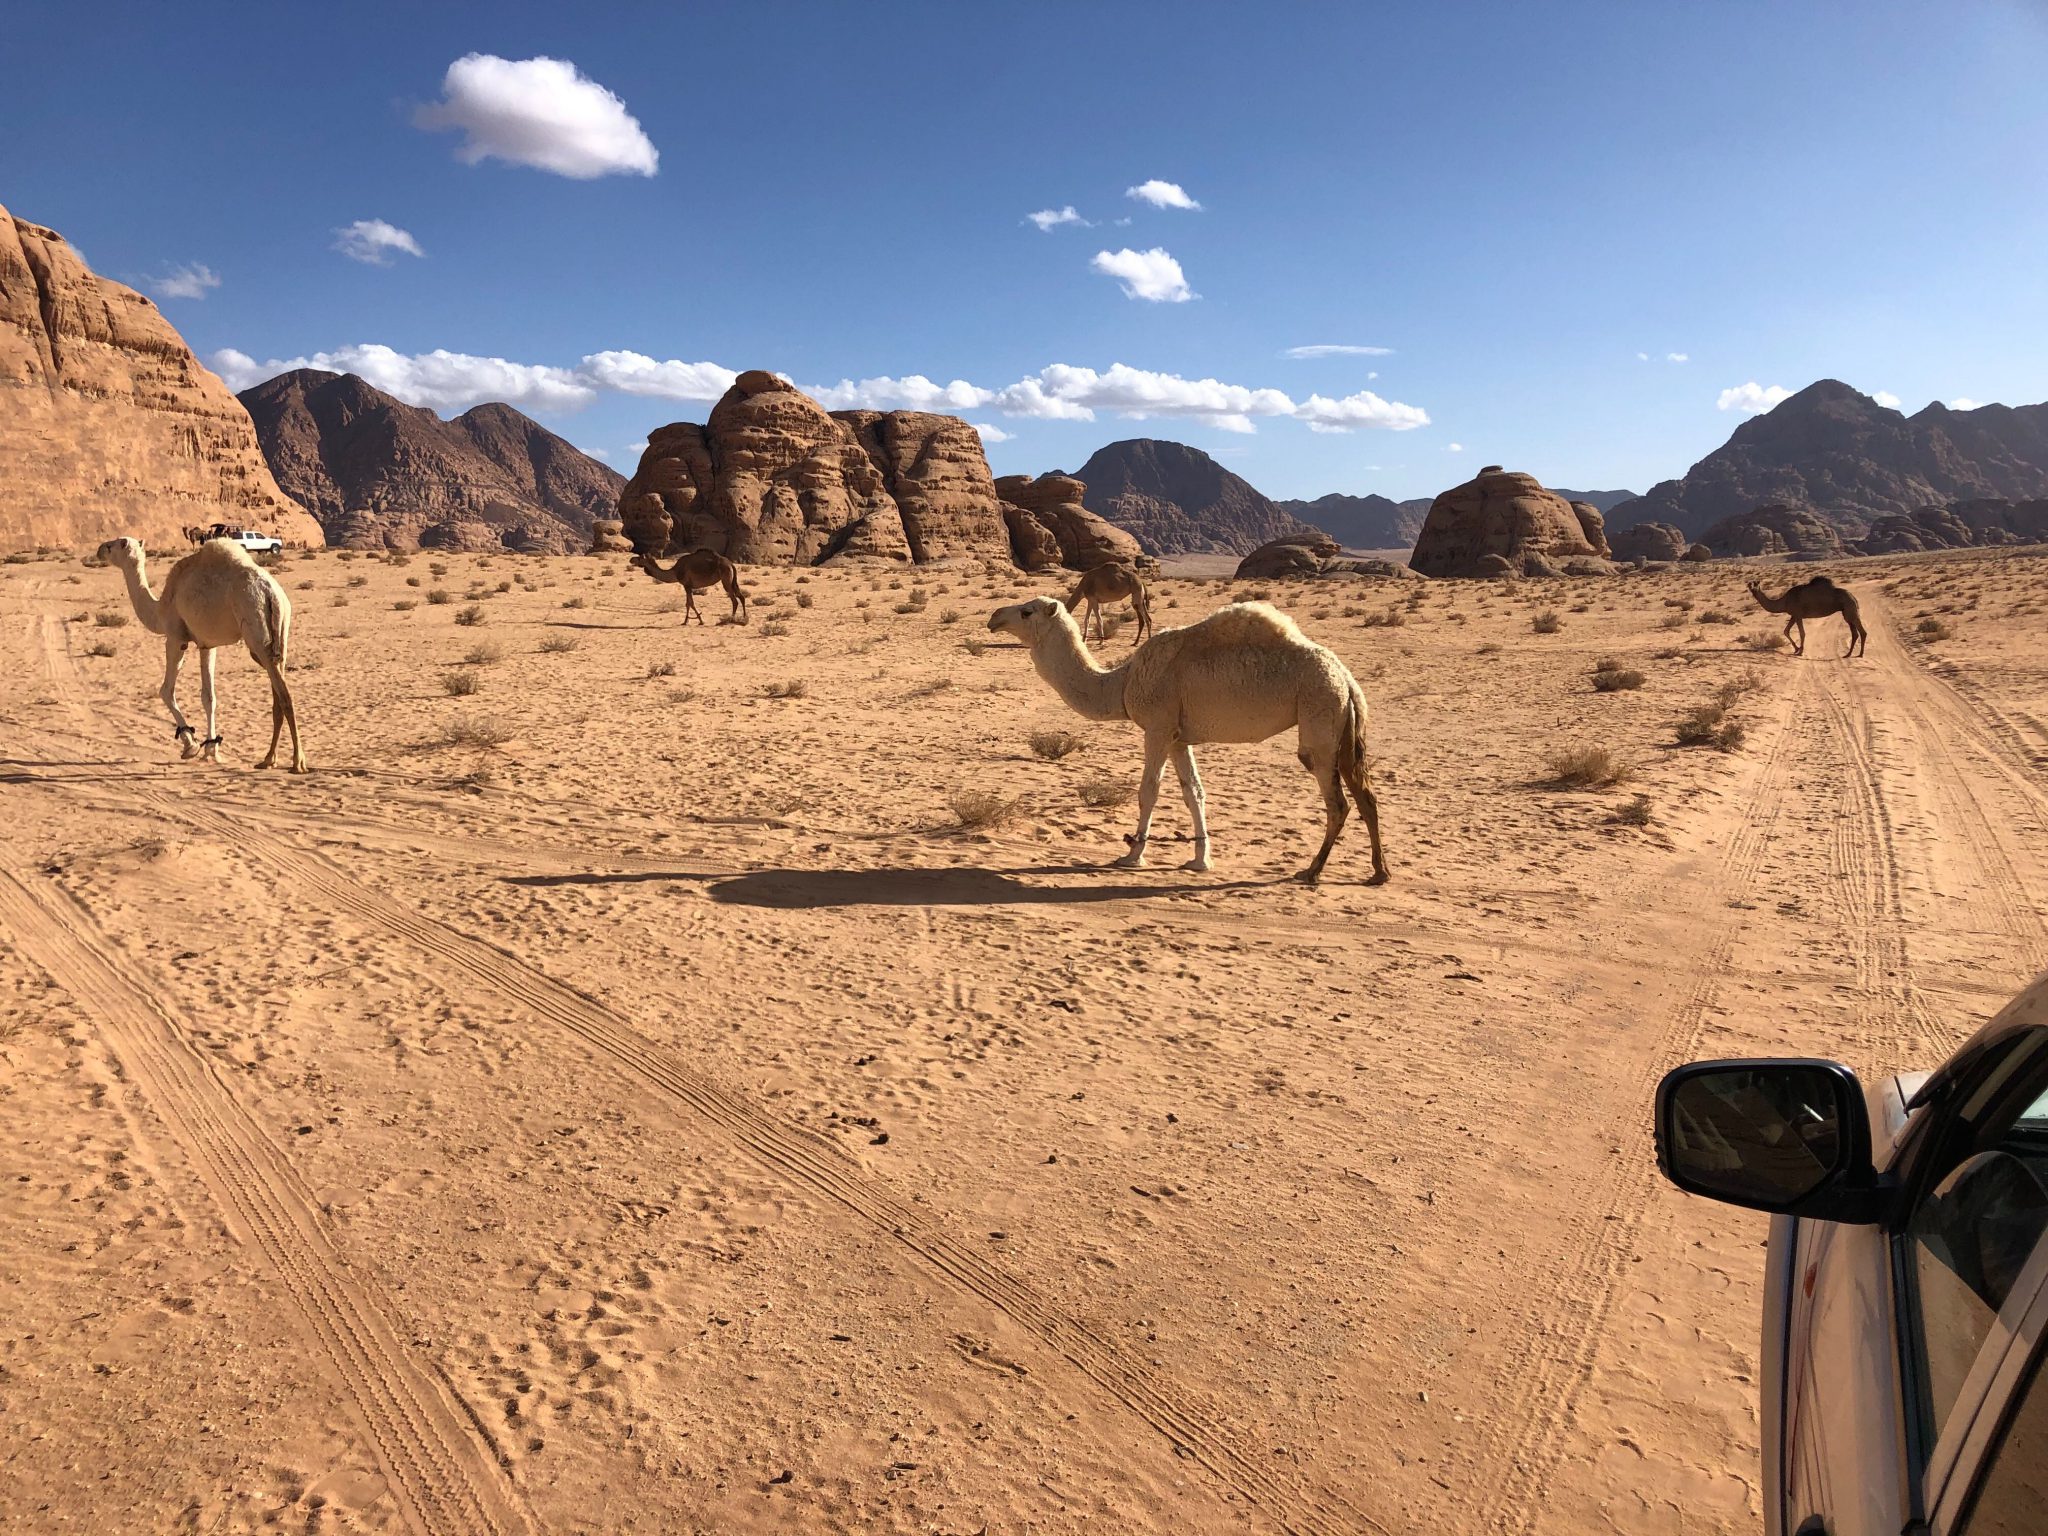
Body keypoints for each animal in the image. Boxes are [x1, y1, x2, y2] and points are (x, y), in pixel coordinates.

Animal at [97, 540, 303, 782]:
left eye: (113, 545)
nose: (99, 549)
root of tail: (270, 593)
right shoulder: (207, 644)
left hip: (256, 632)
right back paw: (268, 759)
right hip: (281, 633)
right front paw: (211, 749)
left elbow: (166, 690)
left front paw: (190, 745)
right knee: (278, 693)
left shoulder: (176, 638)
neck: (161, 608)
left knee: (285, 696)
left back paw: (297, 762)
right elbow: (209, 697)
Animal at [983, 602, 1384, 888]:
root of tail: (1346, 678)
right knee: (1366, 794)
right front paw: (1200, 859)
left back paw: (1312, 871)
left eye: (1027, 610)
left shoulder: (1157, 728)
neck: (1122, 683)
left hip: (1320, 714)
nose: (993, 617)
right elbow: (1194, 791)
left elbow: (1149, 790)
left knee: (1337, 801)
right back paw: (1378, 873)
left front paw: (1132, 855)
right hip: (1343, 724)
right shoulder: (1179, 737)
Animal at [1744, 573, 1875, 651]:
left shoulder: (1798, 615)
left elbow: (1802, 633)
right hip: (1848, 610)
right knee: (1855, 631)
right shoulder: (1794, 615)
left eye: (1756, 584)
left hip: (1849, 609)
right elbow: (1786, 631)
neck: (1785, 601)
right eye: (1750, 584)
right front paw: (1796, 649)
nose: (1751, 587)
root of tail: (1853, 596)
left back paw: (1859, 654)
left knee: (1860, 630)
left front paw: (1800, 651)